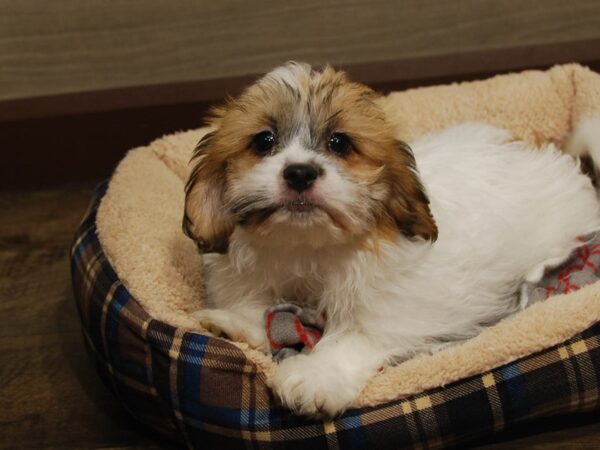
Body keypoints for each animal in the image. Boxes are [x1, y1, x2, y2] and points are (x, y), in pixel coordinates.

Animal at [182, 61, 600, 416]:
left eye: (339, 143)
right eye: (264, 141)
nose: (300, 172)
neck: (308, 246)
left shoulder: (402, 307)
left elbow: (360, 334)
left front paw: (315, 376)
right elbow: (259, 302)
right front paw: (235, 323)